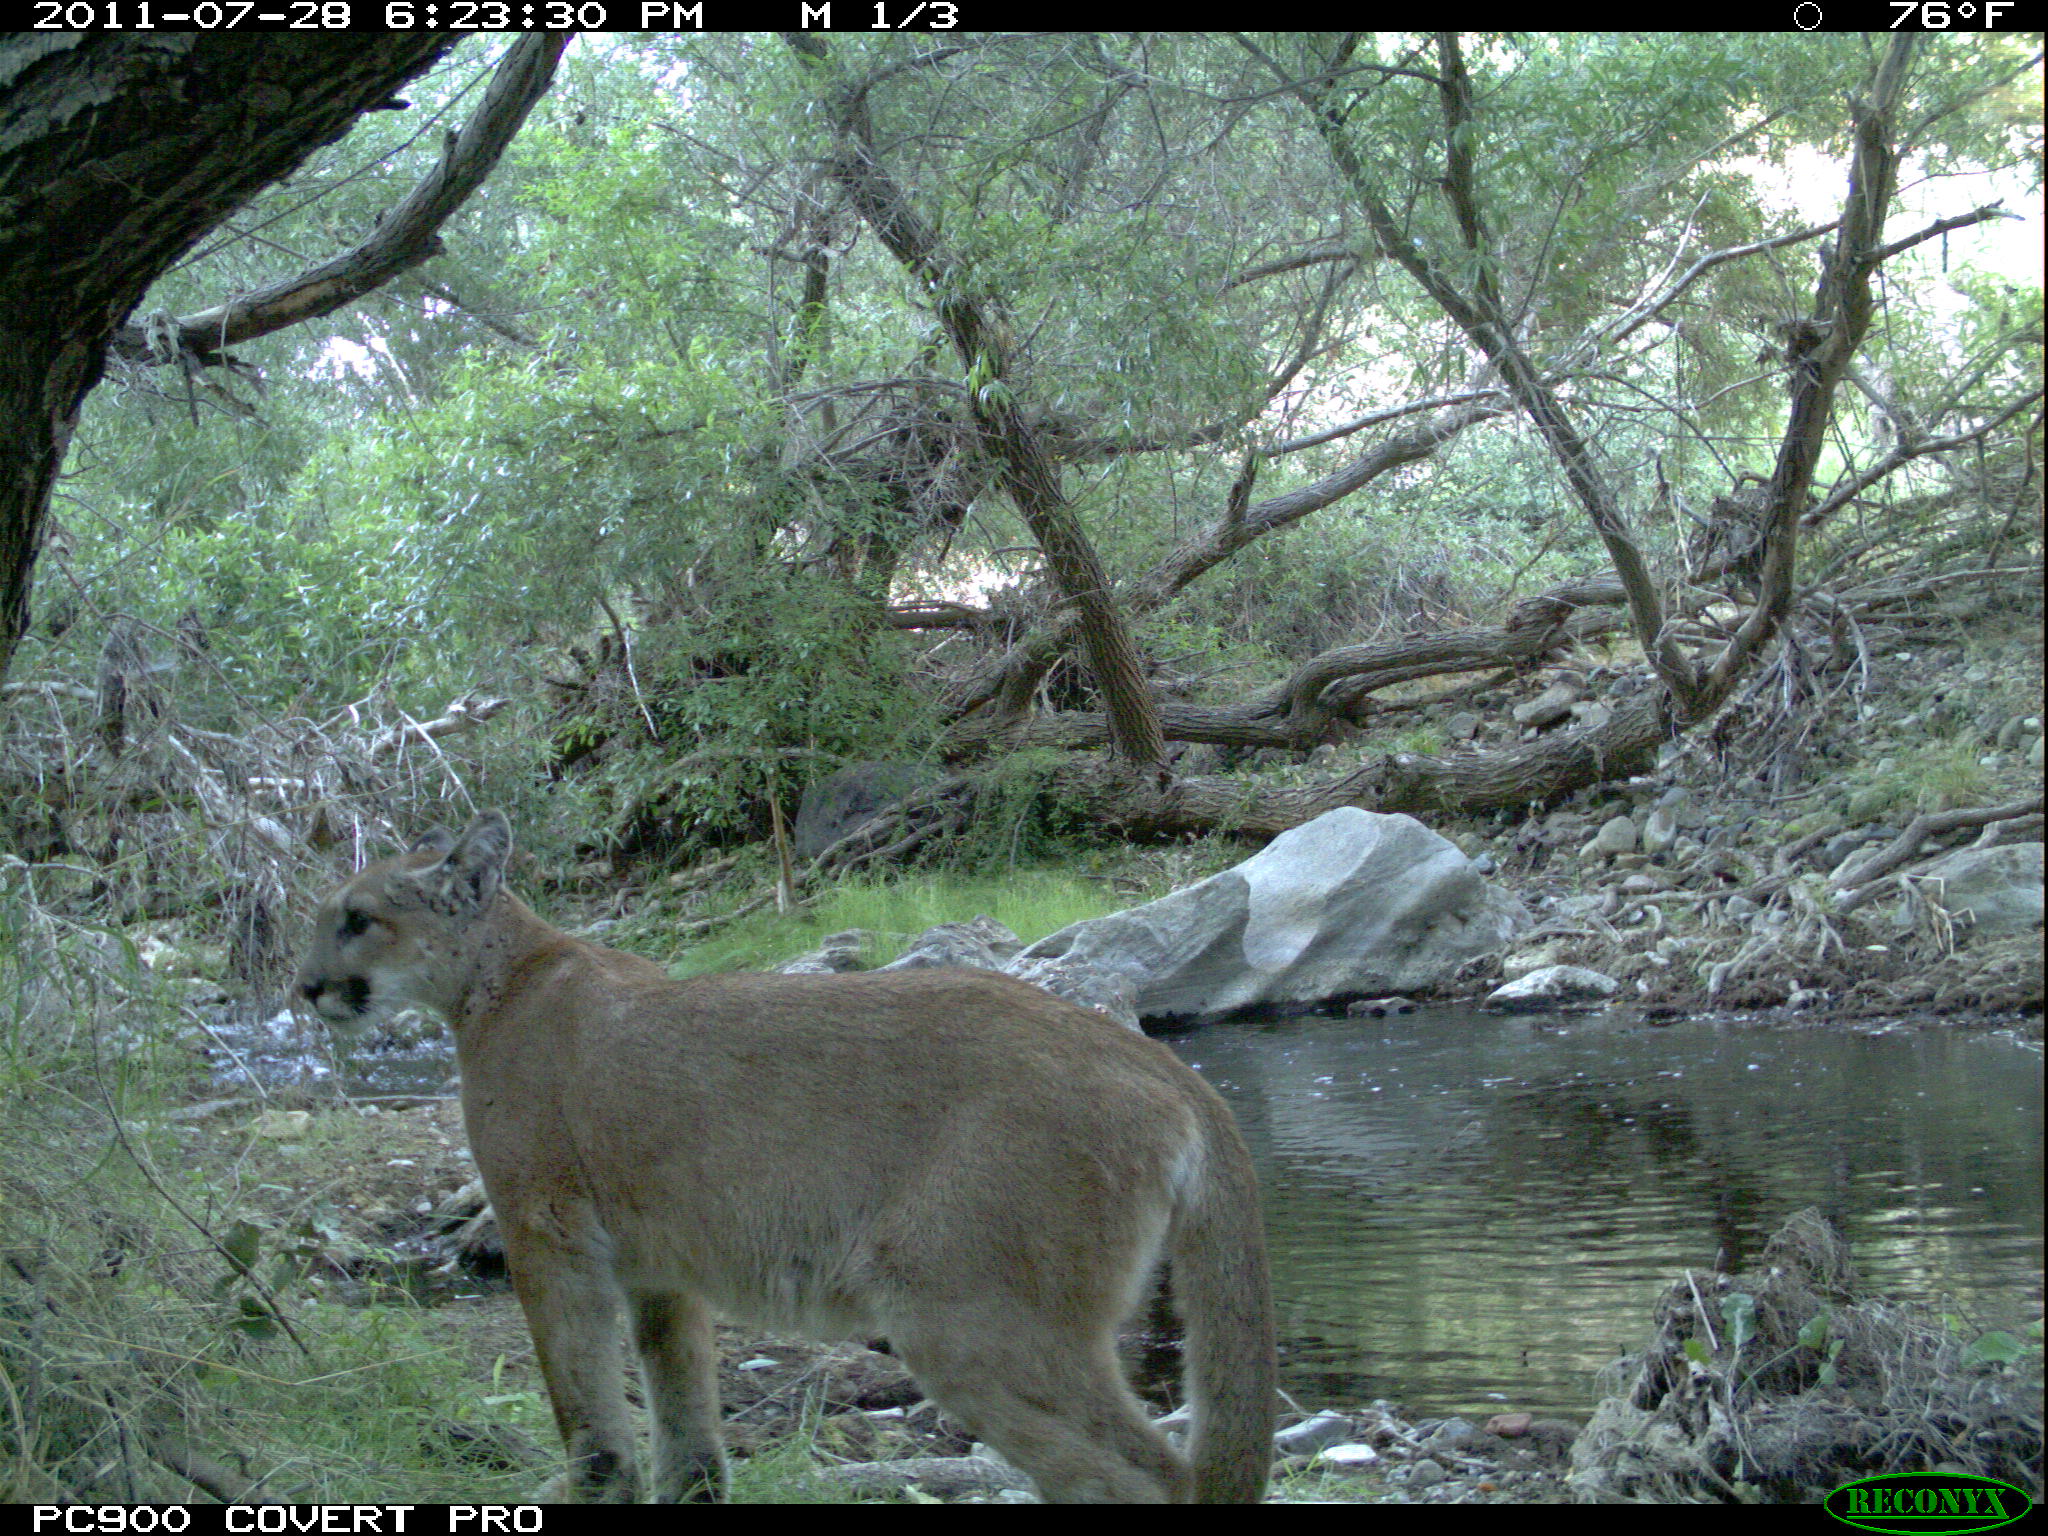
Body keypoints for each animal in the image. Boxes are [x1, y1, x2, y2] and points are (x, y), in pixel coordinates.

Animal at [296, 819, 1269, 1507]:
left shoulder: (546, 1234)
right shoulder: (660, 1269)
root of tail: (1167, 1065)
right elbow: (687, 1428)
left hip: (970, 1318)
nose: (303, 985)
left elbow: (593, 1424)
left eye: (358, 919)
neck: (495, 982)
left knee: (1145, 1475)